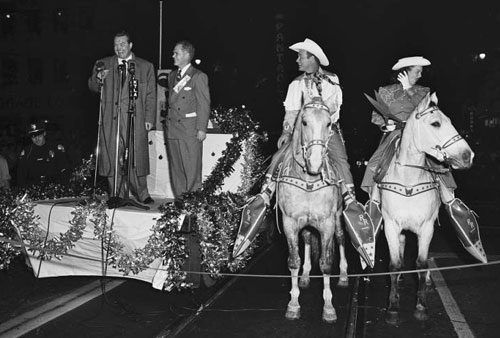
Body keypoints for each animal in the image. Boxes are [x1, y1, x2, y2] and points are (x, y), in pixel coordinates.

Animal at [276, 99, 350, 322]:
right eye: (305, 122)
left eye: (328, 123)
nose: (315, 162)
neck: (309, 179)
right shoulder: (290, 223)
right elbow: (294, 261)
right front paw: (293, 304)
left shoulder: (327, 223)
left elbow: (326, 263)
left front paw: (328, 307)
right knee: (308, 239)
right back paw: (306, 275)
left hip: (338, 217)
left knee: (341, 238)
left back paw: (344, 276)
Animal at [376, 93, 474, 324]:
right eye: (435, 123)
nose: (468, 156)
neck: (409, 181)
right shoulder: (391, 226)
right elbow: (394, 264)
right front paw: (393, 307)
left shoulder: (426, 227)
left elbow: (421, 264)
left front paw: (421, 306)